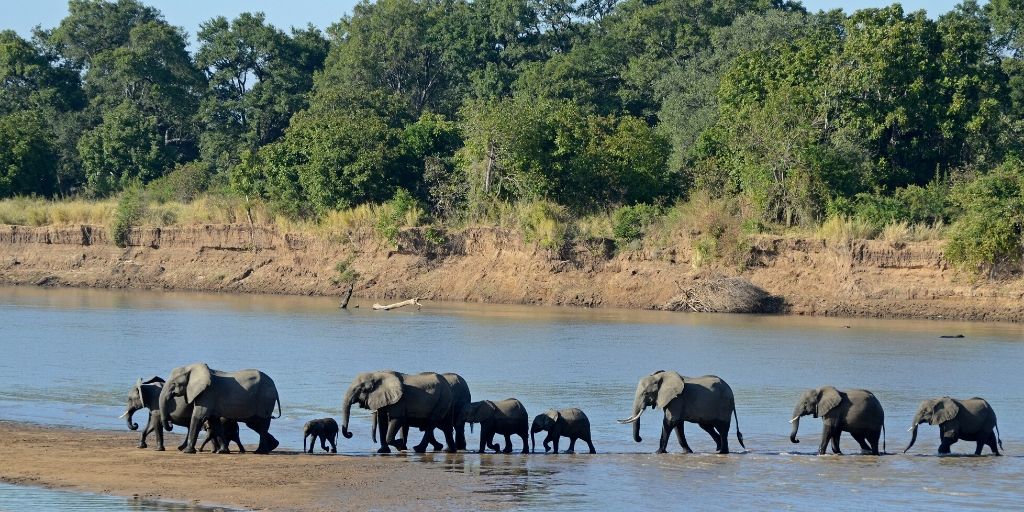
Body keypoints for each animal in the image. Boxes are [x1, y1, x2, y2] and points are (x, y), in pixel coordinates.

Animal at [614, 370, 745, 454]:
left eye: (646, 393)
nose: (640, 438)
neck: (661, 376)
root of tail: (731, 391)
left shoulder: (677, 399)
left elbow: (669, 422)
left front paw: (658, 452)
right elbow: (678, 425)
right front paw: (687, 452)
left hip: (724, 405)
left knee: (722, 428)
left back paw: (722, 452)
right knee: (706, 426)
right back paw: (718, 449)